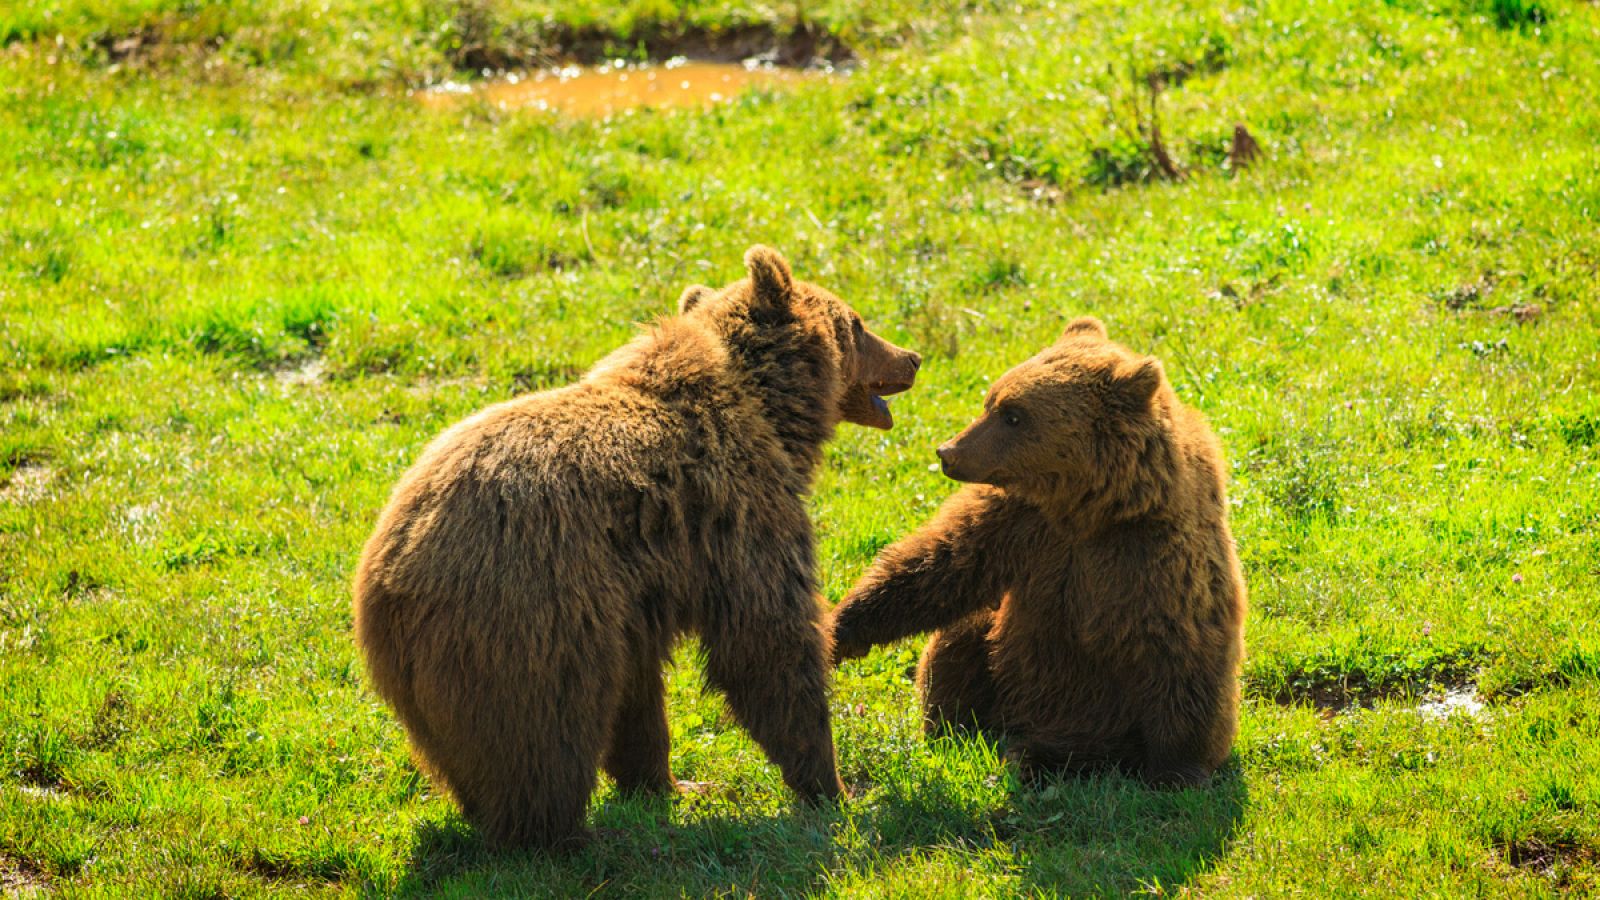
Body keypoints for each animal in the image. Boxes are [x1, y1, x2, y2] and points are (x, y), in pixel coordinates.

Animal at [355, 241, 921, 845]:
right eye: (857, 323)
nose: (911, 358)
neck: (769, 411)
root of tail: (389, 575)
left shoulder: (639, 594)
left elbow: (641, 695)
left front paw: (671, 783)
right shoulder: (736, 514)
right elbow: (770, 643)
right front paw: (834, 788)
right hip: (528, 617)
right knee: (545, 736)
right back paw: (562, 834)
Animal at [825, 317, 1248, 784]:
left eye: (1014, 415)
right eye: (991, 401)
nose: (947, 452)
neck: (1087, 508)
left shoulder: (1151, 555)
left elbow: (1181, 651)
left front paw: (1177, 770)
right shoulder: (1019, 521)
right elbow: (939, 562)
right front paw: (841, 629)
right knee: (957, 643)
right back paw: (960, 733)